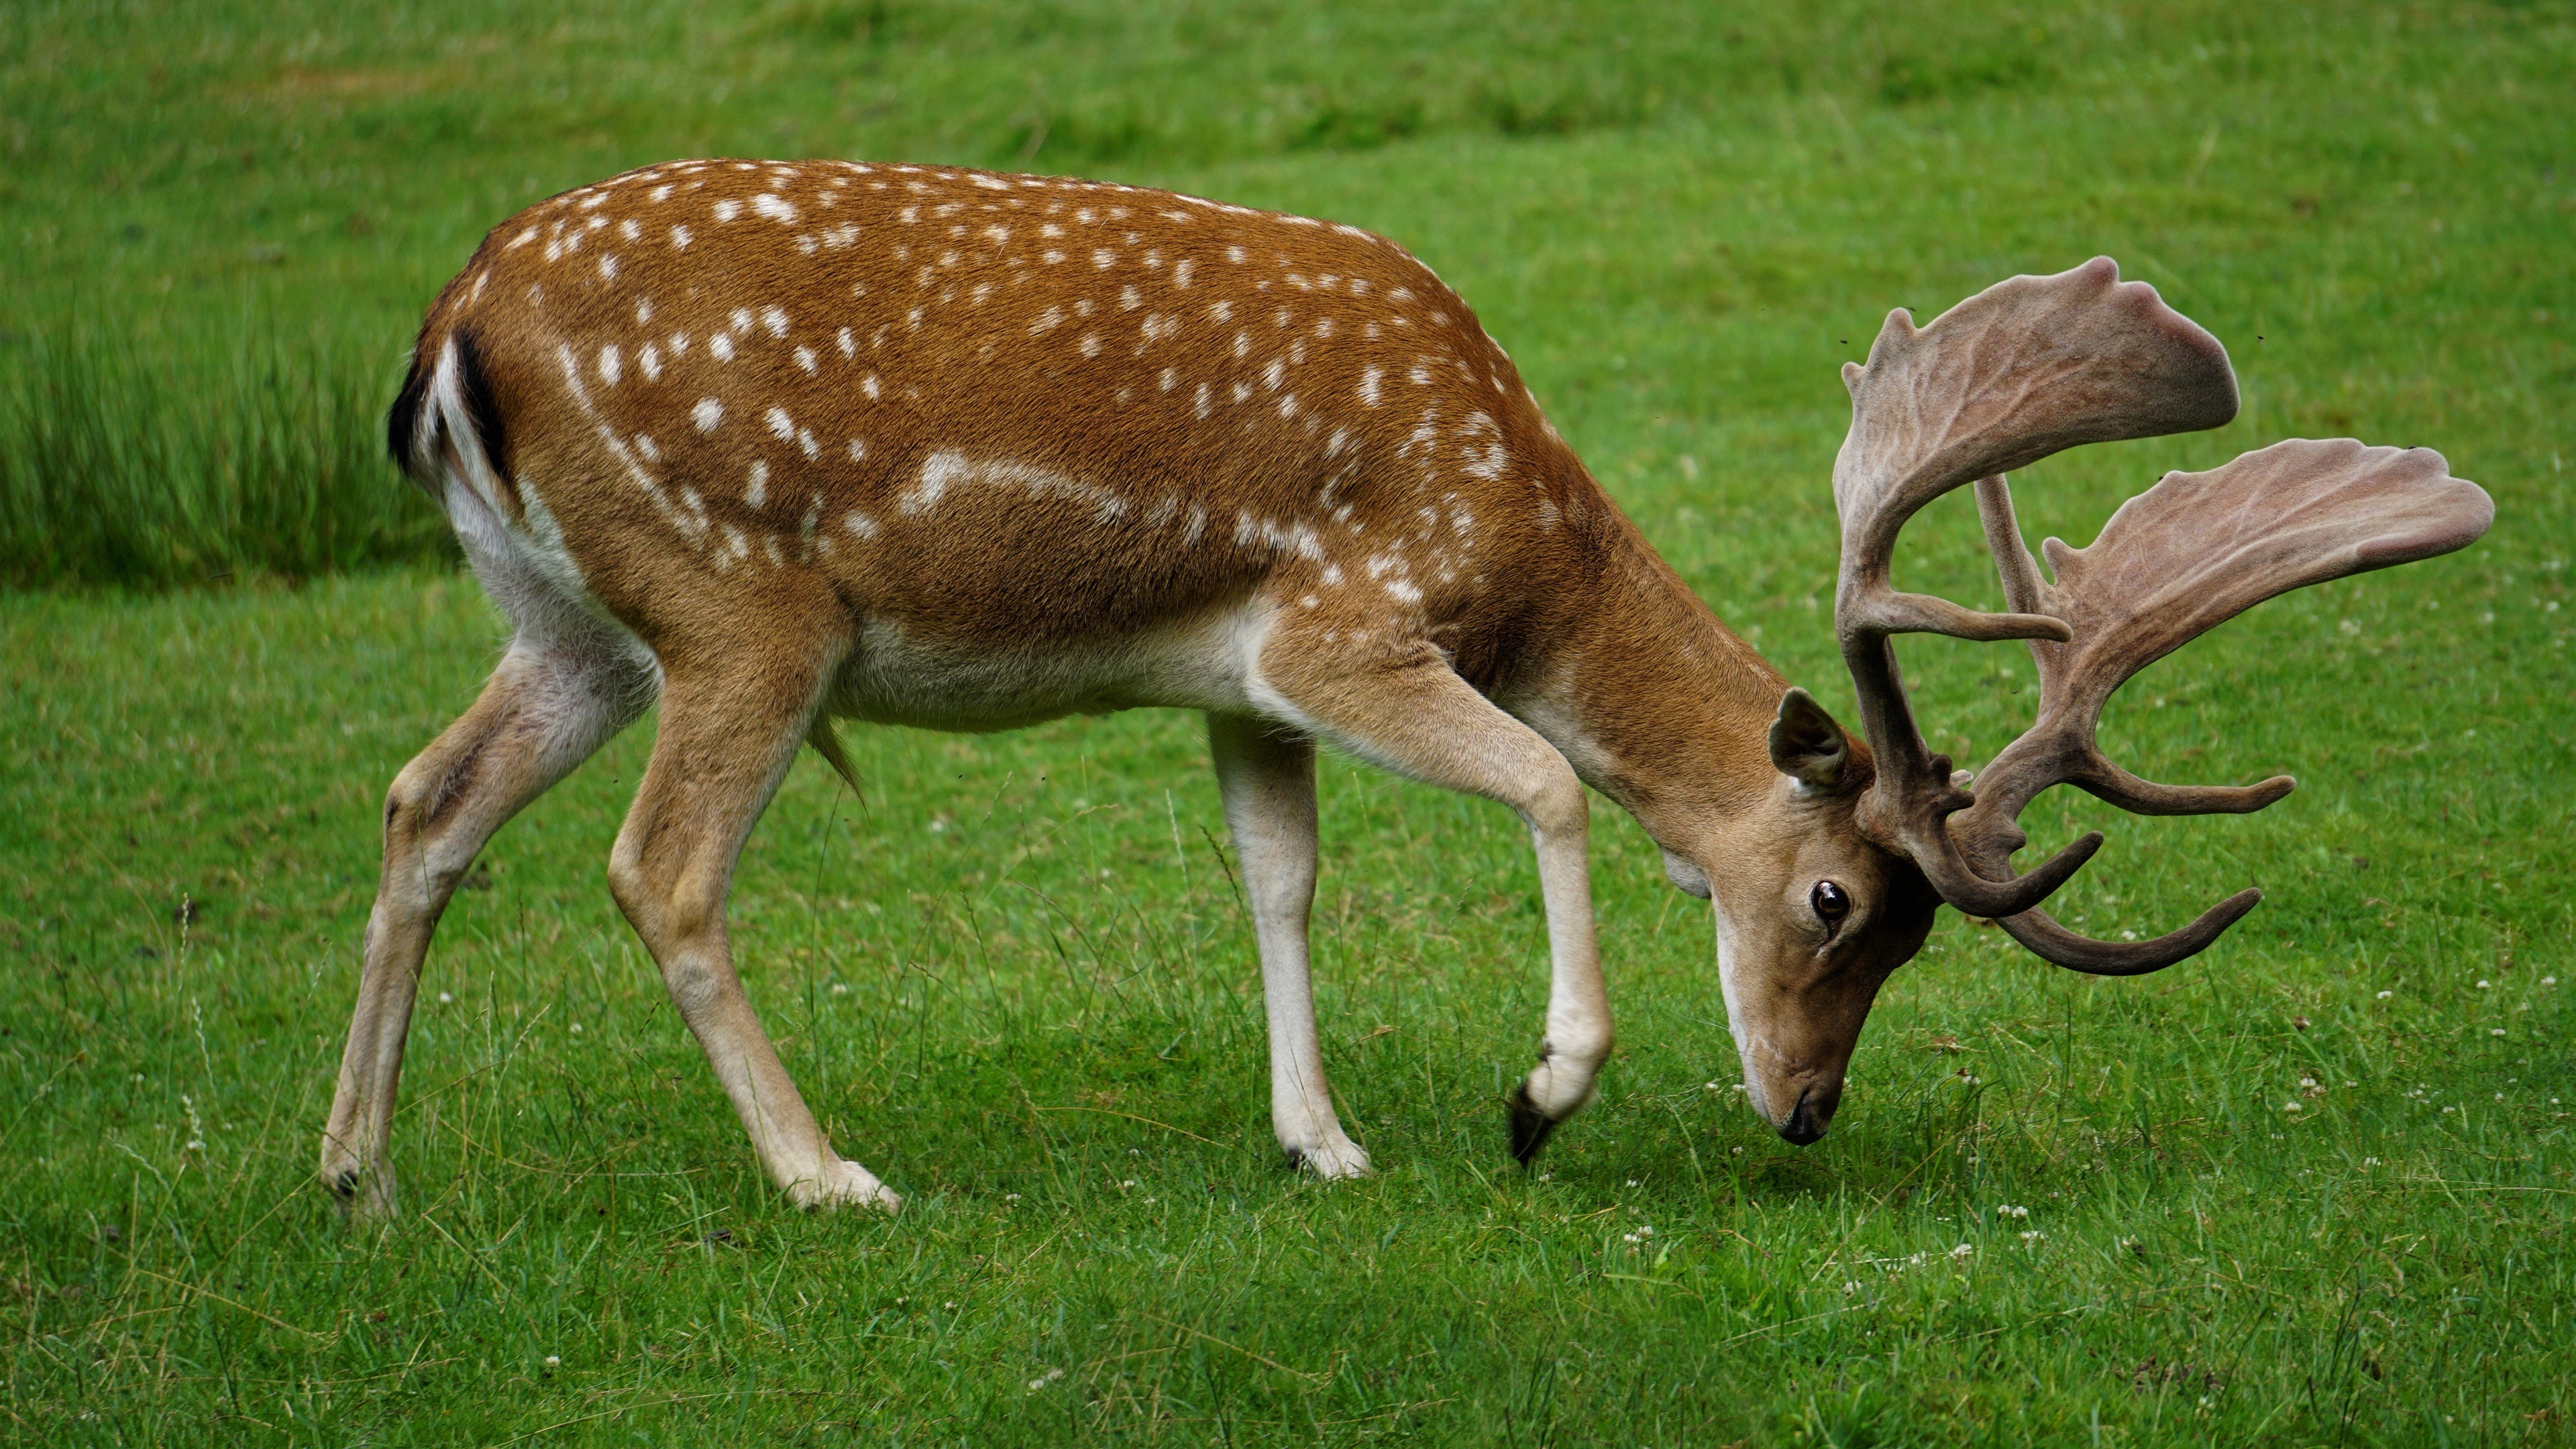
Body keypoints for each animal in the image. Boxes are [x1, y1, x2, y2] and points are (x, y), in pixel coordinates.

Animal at [311, 158, 2483, 1212]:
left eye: (1898, 937)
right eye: (1833, 901)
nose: (1801, 1111)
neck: (1520, 537)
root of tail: (446, 329)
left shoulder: (1233, 679)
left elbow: (1276, 875)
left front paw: (1321, 1142)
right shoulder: (1339, 624)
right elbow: (1542, 783)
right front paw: (1539, 1089)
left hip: (572, 620)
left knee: (423, 800)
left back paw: (355, 1173)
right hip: (746, 602)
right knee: (660, 871)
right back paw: (827, 1174)